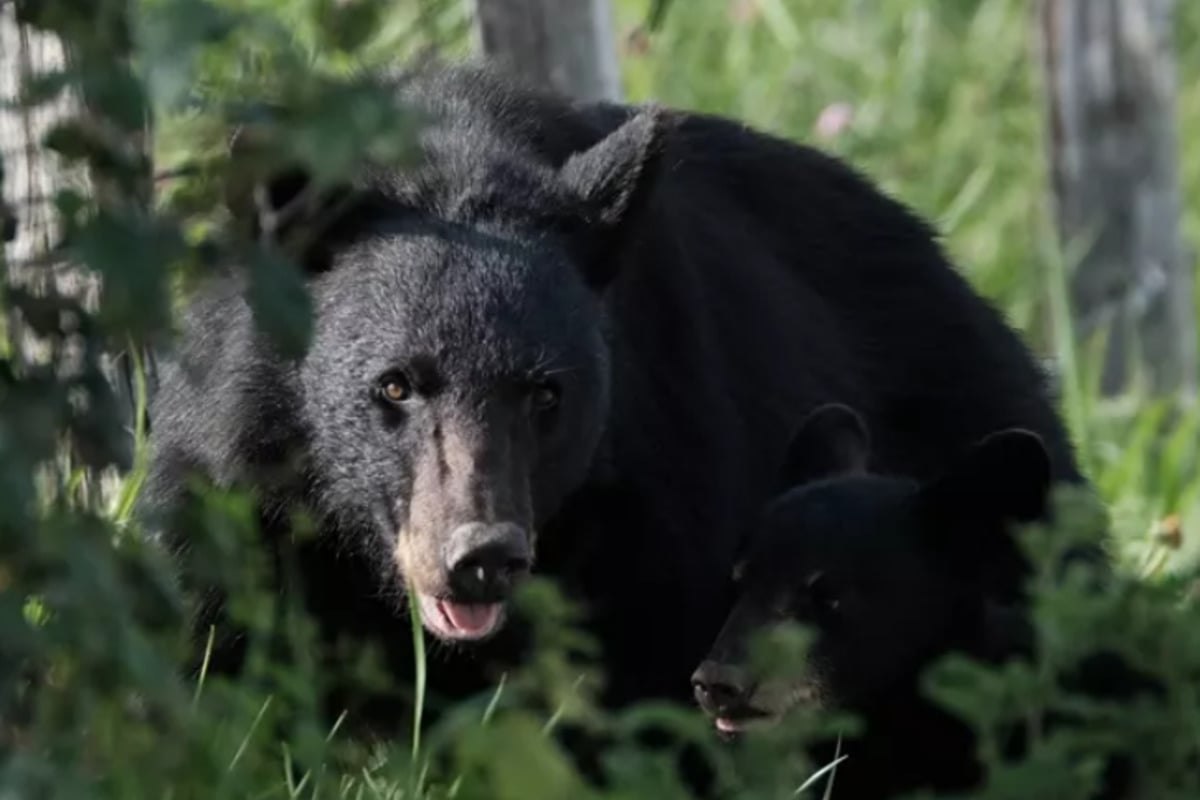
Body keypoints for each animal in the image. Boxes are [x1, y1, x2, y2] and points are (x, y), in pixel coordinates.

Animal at [138, 60, 1087, 742]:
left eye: (545, 393)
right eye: (394, 385)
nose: (480, 557)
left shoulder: (663, 494)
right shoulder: (236, 481)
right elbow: (220, 663)